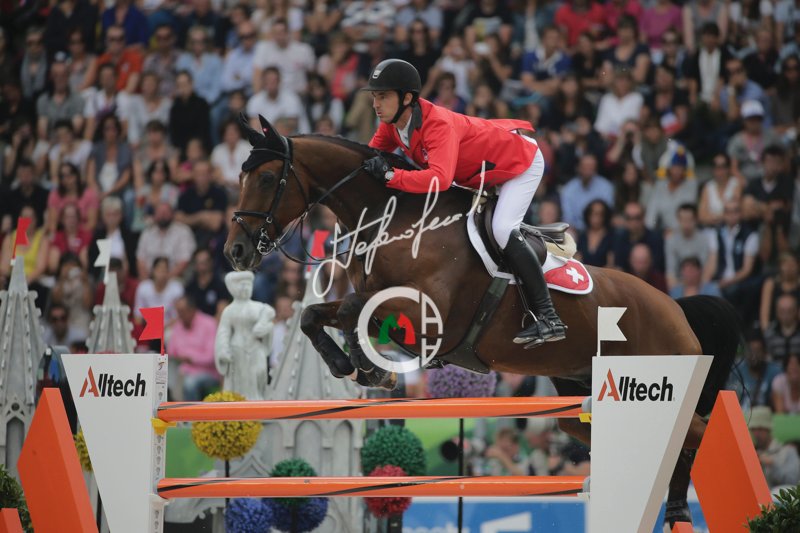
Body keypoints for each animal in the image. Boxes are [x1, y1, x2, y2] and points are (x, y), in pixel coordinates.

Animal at [224, 115, 740, 528]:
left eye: (267, 177)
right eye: (242, 177)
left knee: (692, 433)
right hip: (579, 392)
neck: (400, 222)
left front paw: (367, 367)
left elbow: (352, 311)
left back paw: (684, 509)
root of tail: (677, 308)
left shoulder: (429, 316)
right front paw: (349, 365)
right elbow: (317, 314)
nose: (236, 251)